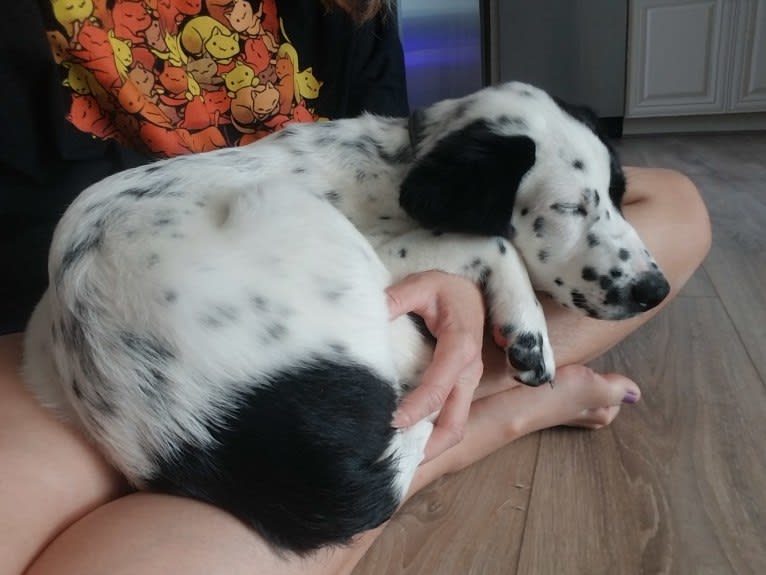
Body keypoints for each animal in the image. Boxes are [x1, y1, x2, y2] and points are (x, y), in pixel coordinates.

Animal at [22, 81, 672, 552]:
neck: (400, 160)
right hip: (301, 219)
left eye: (618, 194)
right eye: (567, 208)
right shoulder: (390, 251)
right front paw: (527, 328)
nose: (656, 290)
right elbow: (495, 241)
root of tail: (194, 429)